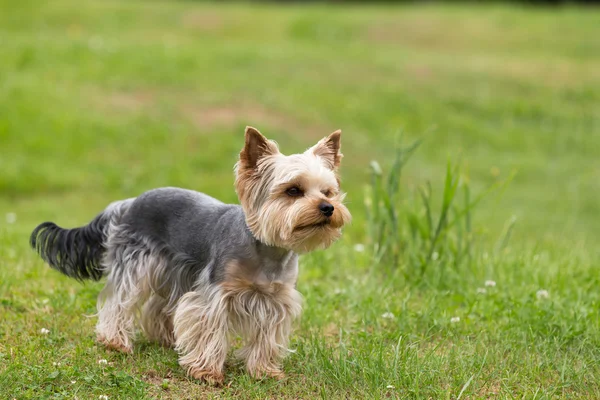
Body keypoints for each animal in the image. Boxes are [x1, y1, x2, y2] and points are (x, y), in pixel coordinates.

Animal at [30, 127, 352, 384]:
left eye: (328, 191)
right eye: (293, 190)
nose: (328, 208)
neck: (266, 250)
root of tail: (127, 203)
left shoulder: (276, 301)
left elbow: (266, 337)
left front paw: (264, 371)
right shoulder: (214, 295)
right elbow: (208, 330)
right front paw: (207, 372)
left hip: (170, 270)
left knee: (157, 306)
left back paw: (165, 338)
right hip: (137, 264)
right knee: (118, 302)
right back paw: (115, 341)